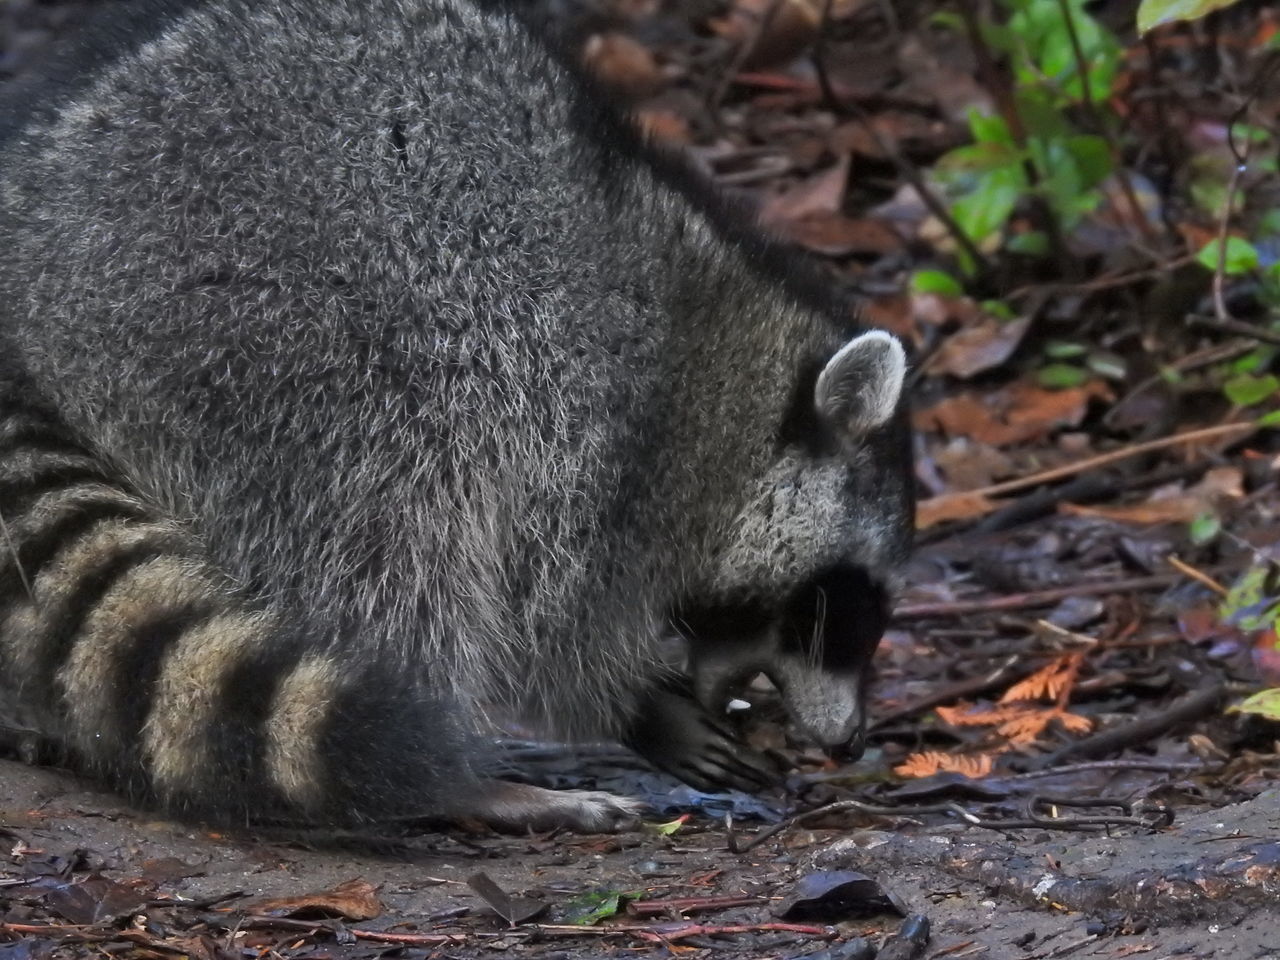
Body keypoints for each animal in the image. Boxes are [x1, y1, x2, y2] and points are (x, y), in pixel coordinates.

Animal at [2, 0, 921, 829]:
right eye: (837, 608)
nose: (851, 741)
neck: (738, 373)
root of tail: (27, 262)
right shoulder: (605, 433)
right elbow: (550, 613)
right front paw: (631, 705)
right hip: (276, 335)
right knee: (401, 532)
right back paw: (469, 780)